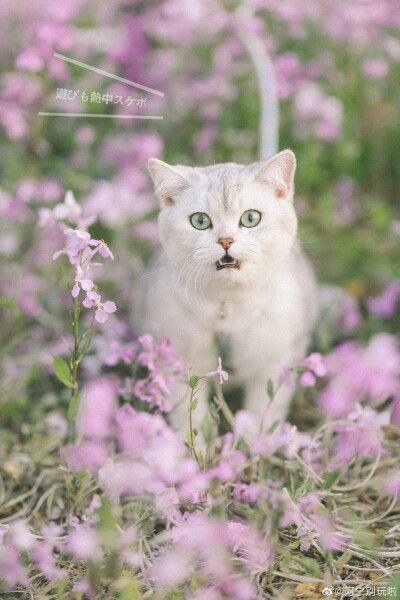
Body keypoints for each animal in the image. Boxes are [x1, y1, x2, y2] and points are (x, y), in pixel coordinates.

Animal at [139, 149, 318, 440]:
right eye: (200, 221)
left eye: (251, 218)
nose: (226, 241)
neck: (229, 305)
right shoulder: (176, 360)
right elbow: (188, 417)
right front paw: (191, 450)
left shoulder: (277, 357)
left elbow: (263, 411)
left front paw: (255, 446)